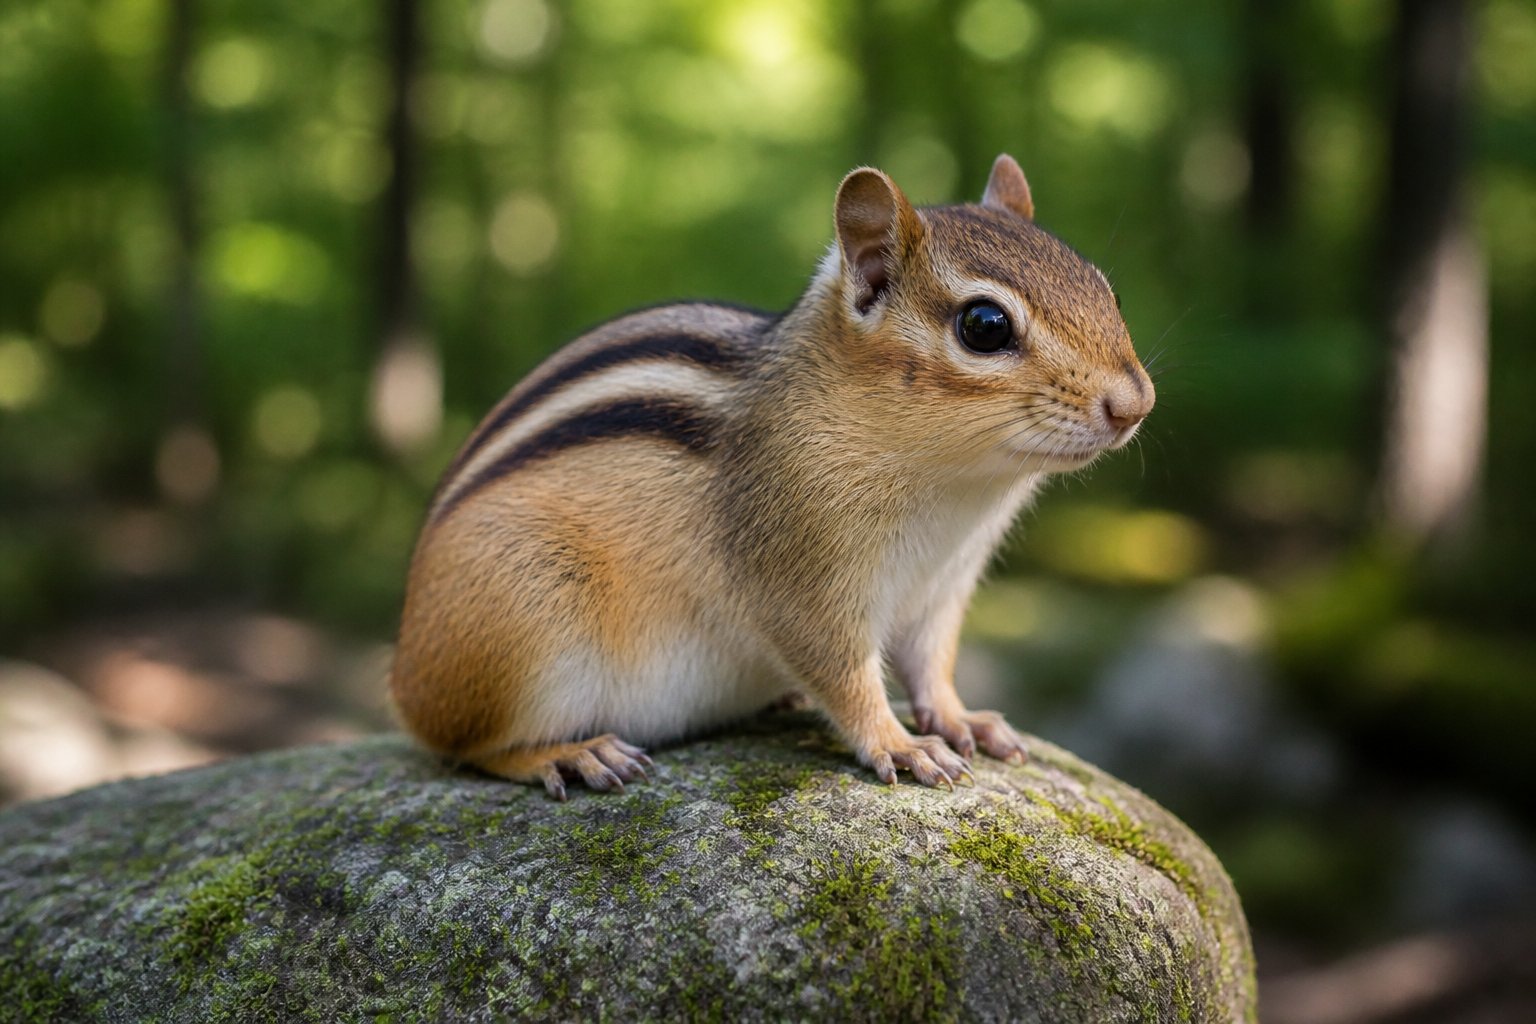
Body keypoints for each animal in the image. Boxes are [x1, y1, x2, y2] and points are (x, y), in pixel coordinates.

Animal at [390, 154, 1154, 799]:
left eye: (1104, 289)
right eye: (985, 325)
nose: (1135, 404)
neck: (958, 491)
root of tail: (406, 668)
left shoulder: (943, 588)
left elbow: (931, 664)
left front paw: (961, 719)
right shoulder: (801, 575)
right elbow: (845, 673)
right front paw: (900, 743)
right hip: (523, 616)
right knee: (460, 744)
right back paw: (569, 753)